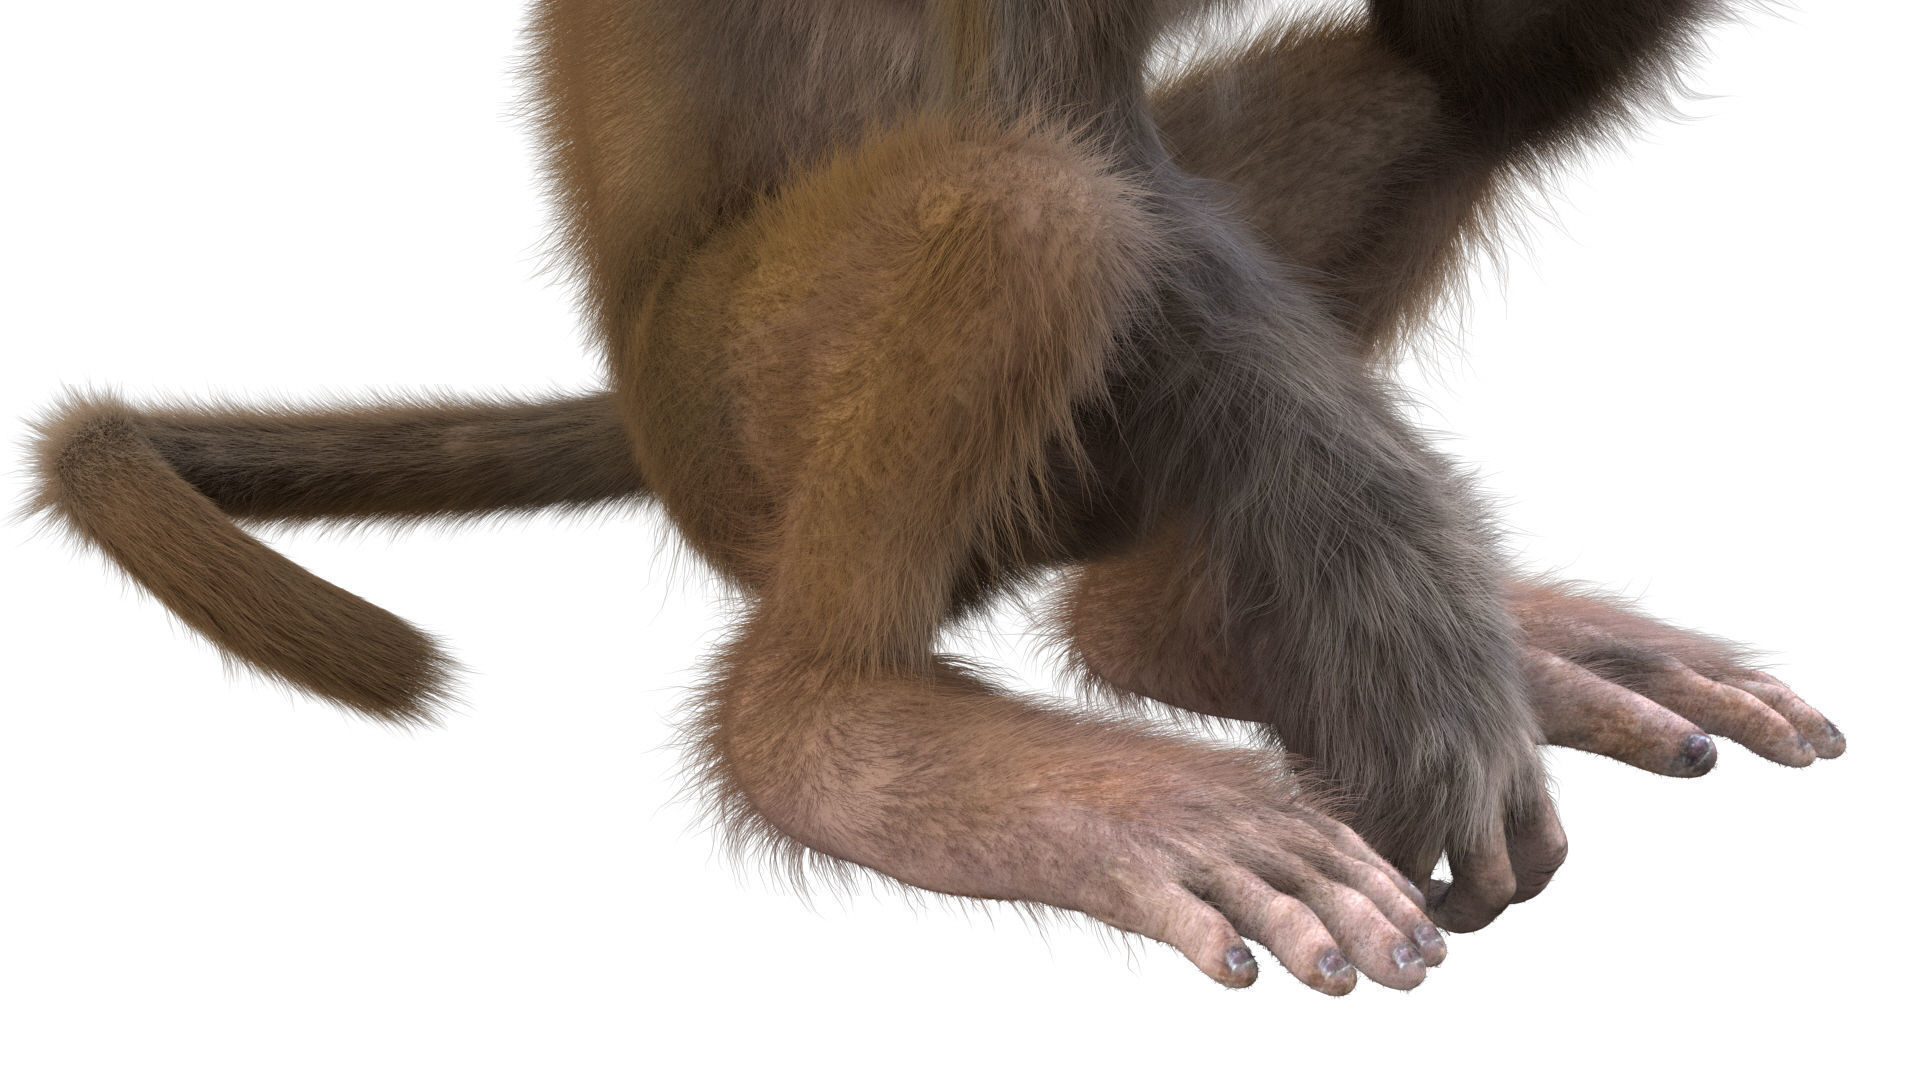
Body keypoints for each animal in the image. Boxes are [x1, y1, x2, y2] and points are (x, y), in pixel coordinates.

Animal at [25, 0, 1845, 995]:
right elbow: (1047, 113)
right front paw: (1410, 653)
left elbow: (1492, 48)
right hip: (731, 408)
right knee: (1037, 194)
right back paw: (840, 730)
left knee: (1450, 94)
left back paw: (1173, 622)